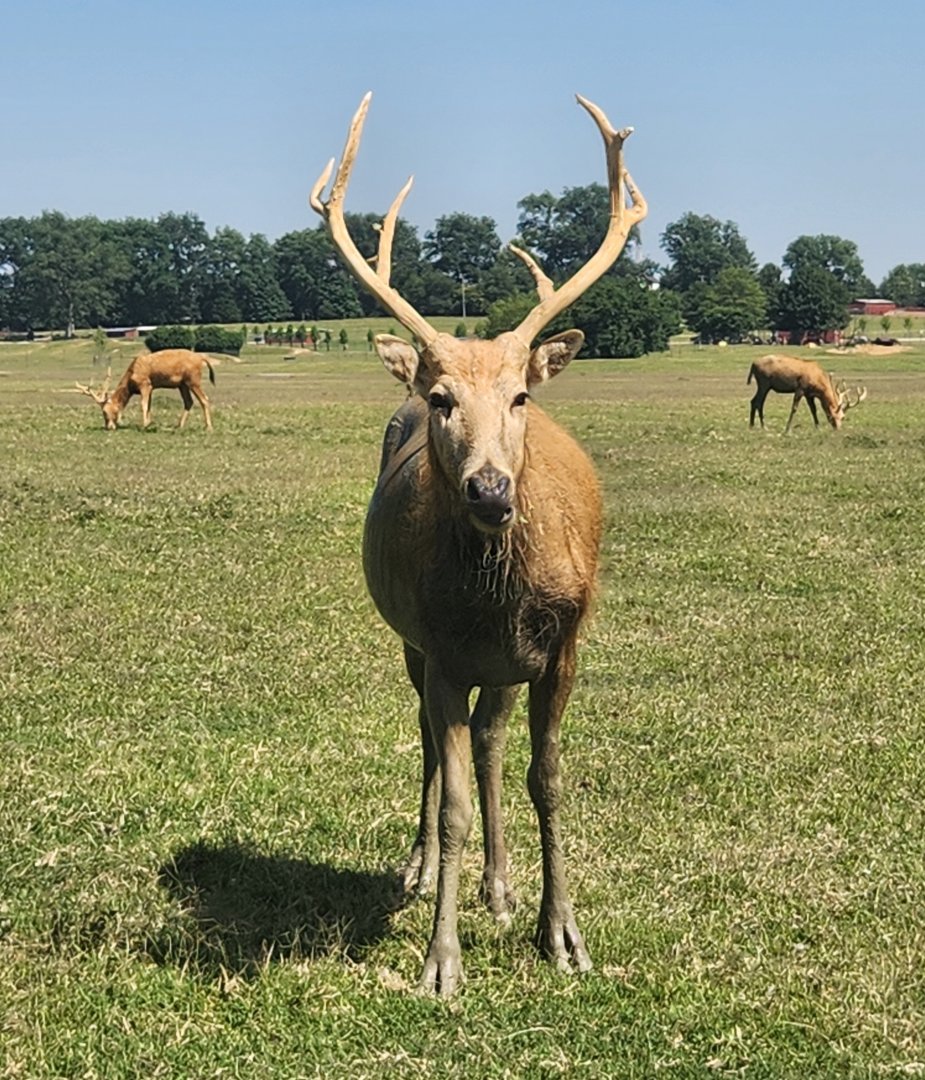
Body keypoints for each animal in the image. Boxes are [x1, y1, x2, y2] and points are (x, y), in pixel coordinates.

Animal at [77, 349, 215, 431]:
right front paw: (149, 423)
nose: (109, 427)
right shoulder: (151, 387)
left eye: (105, 411)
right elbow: (148, 405)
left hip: (193, 380)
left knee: (204, 399)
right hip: (182, 384)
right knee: (189, 402)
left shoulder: (145, 384)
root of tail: (202, 359)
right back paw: (179, 425)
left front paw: (143, 425)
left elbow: (143, 404)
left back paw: (208, 427)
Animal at [310, 92, 646, 995]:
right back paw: (422, 866)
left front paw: (561, 934)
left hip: (504, 667)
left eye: (521, 395)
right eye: (441, 399)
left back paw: (500, 886)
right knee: (434, 744)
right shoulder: (439, 646)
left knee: (492, 742)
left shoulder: (562, 644)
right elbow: (455, 792)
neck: (499, 597)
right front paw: (440, 960)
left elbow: (548, 781)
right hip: (412, 646)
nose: (490, 490)